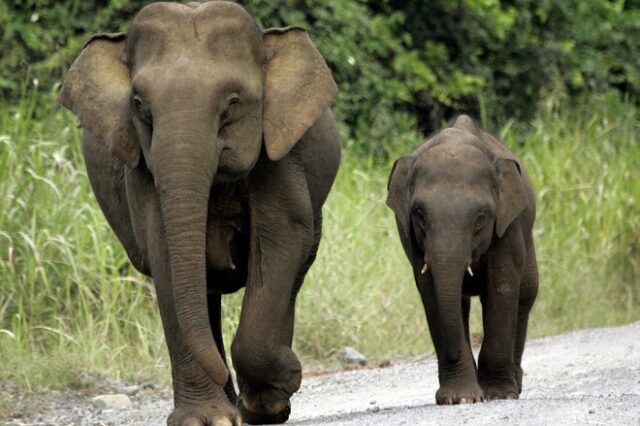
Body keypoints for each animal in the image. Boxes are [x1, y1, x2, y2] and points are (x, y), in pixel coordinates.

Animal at [59, 1, 340, 424]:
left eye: (233, 104)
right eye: (139, 106)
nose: (292, 371)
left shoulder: (281, 154)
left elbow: (281, 236)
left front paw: (275, 391)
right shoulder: (141, 170)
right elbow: (164, 255)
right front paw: (209, 419)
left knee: (295, 267)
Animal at [384, 115, 540, 404]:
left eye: (480, 218)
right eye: (419, 214)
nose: (453, 352)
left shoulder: (508, 225)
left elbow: (502, 287)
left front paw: (498, 395)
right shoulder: (410, 236)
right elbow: (432, 292)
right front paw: (461, 398)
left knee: (525, 295)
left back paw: (515, 386)